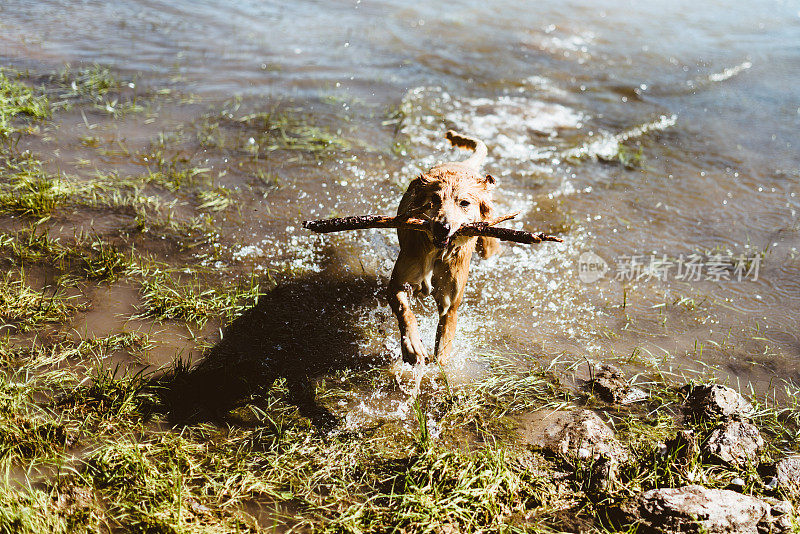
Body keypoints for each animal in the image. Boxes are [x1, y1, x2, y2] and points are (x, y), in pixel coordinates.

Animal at [390, 130, 500, 366]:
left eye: (464, 203)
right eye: (434, 199)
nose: (443, 227)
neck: (437, 253)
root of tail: (464, 165)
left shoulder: (450, 304)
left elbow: (444, 344)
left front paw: (440, 365)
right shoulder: (397, 284)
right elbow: (405, 312)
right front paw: (412, 346)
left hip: (487, 244)